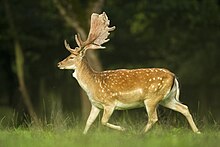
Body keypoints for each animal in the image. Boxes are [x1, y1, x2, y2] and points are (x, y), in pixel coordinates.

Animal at [57, 12, 200, 134]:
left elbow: (103, 121)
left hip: (152, 98)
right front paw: (83, 136)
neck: (92, 84)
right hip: (167, 98)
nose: (59, 64)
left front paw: (123, 128)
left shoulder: (109, 103)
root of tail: (173, 76)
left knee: (153, 118)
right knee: (184, 108)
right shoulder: (95, 105)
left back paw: (139, 134)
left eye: (71, 57)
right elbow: (88, 122)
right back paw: (197, 132)